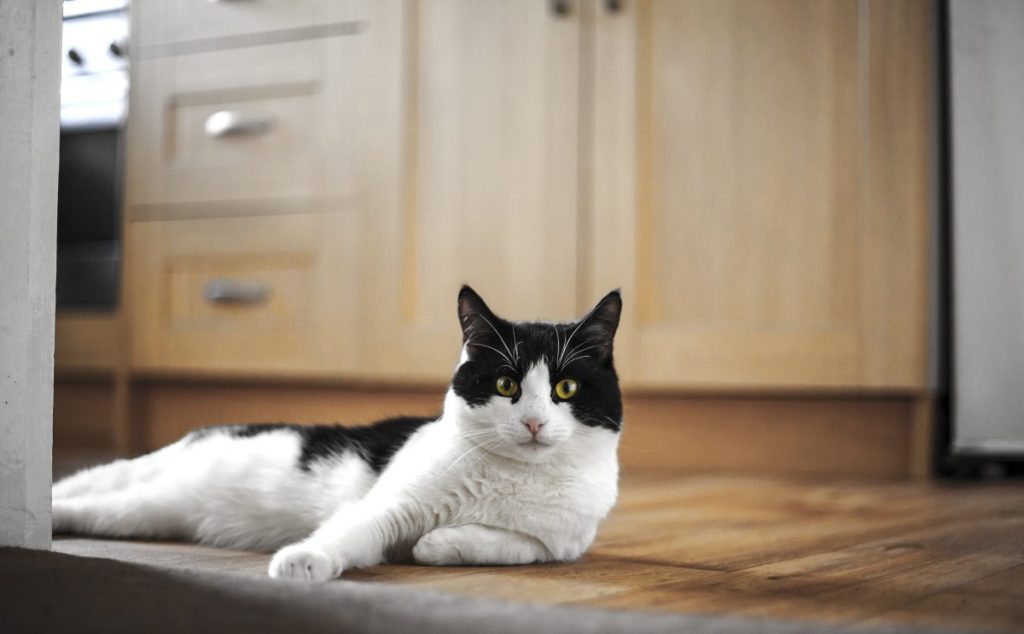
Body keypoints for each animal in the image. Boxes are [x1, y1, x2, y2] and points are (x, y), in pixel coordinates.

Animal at [54, 286, 622, 581]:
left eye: (566, 388)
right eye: (506, 384)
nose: (533, 422)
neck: (517, 475)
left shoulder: (564, 541)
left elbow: (518, 544)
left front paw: (439, 544)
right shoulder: (391, 504)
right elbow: (354, 528)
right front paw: (305, 560)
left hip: (146, 511)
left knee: (97, 506)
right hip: (146, 482)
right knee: (82, 486)